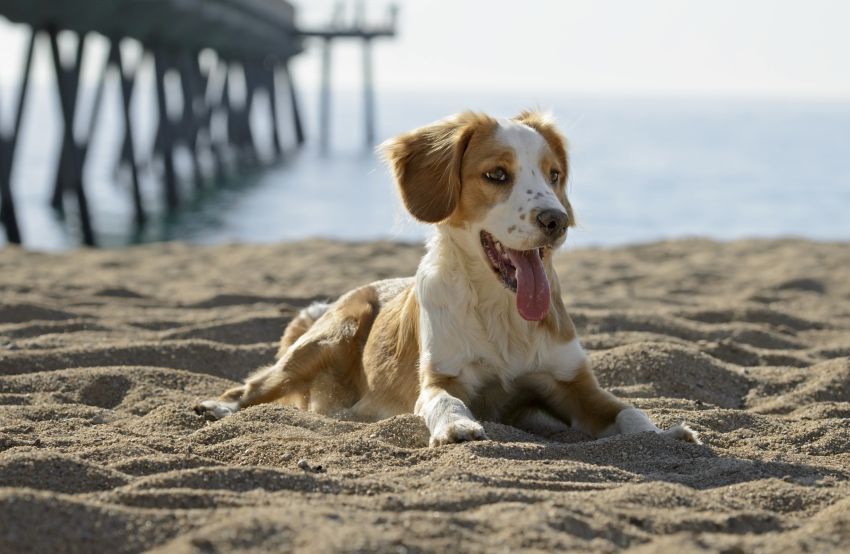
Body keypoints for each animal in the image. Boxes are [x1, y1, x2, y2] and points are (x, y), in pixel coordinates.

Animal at [195, 110, 700, 446]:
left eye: (554, 175)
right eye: (497, 174)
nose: (557, 220)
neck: (501, 310)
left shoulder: (573, 386)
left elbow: (629, 411)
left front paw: (666, 431)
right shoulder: (442, 377)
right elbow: (443, 401)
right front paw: (457, 426)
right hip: (332, 334)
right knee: (253, 385)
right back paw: (215, 407)